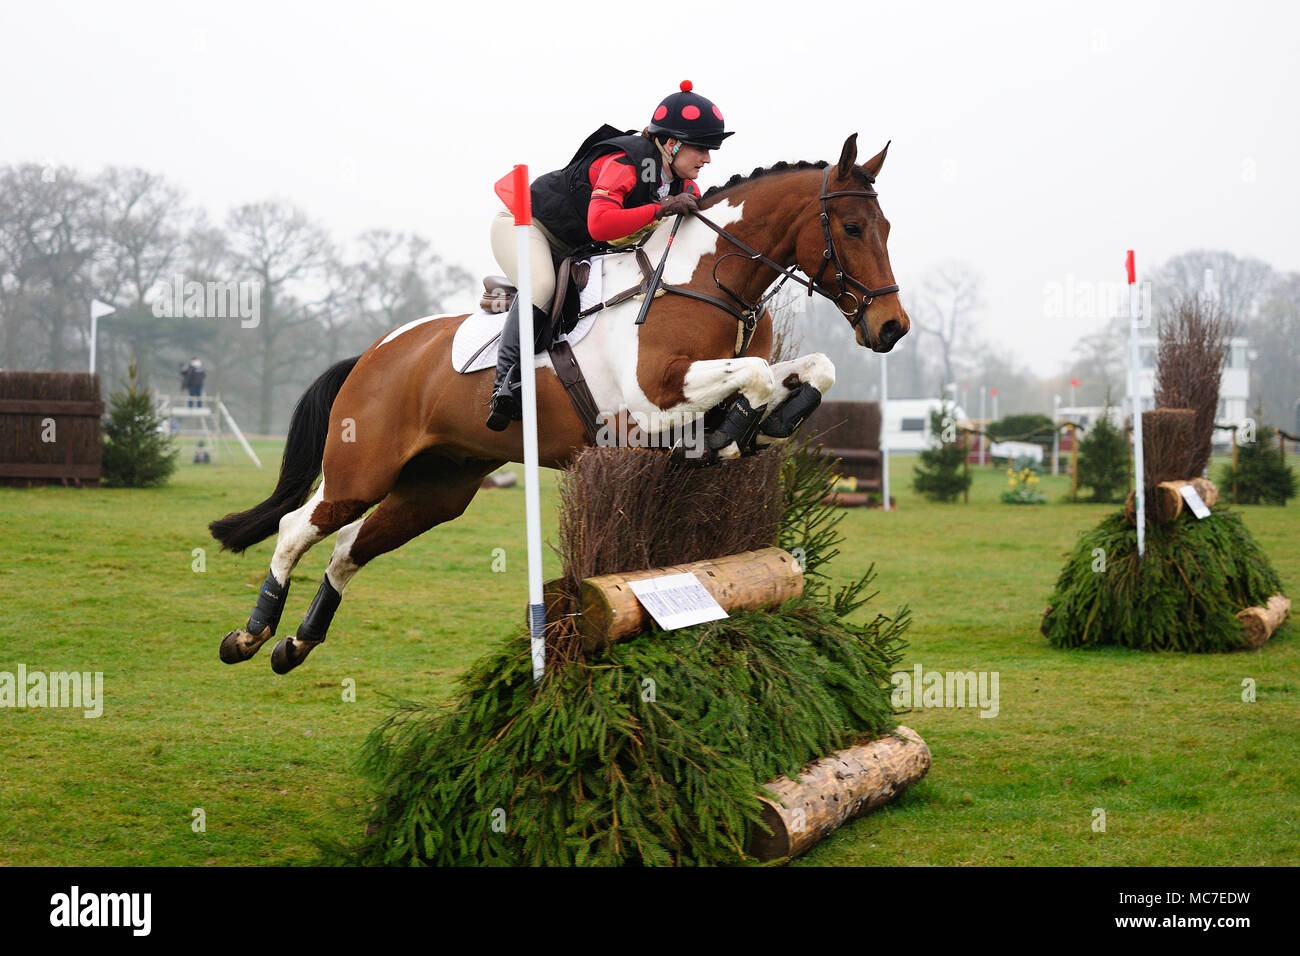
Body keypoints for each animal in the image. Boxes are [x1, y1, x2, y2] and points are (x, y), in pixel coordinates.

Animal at [208, 132, 909, 671]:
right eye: (852, 228)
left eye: (887, 228)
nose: (891, 329)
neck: (702, 282)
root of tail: (374, 353)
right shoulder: (648, 407)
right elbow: (757, 376)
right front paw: (729, 433)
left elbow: (807, 368)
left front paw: (765, 426)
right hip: (364, 468)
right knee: (298, 527)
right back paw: (250, 635)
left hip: (439, 487)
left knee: (351, 546)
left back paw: (296, 644)